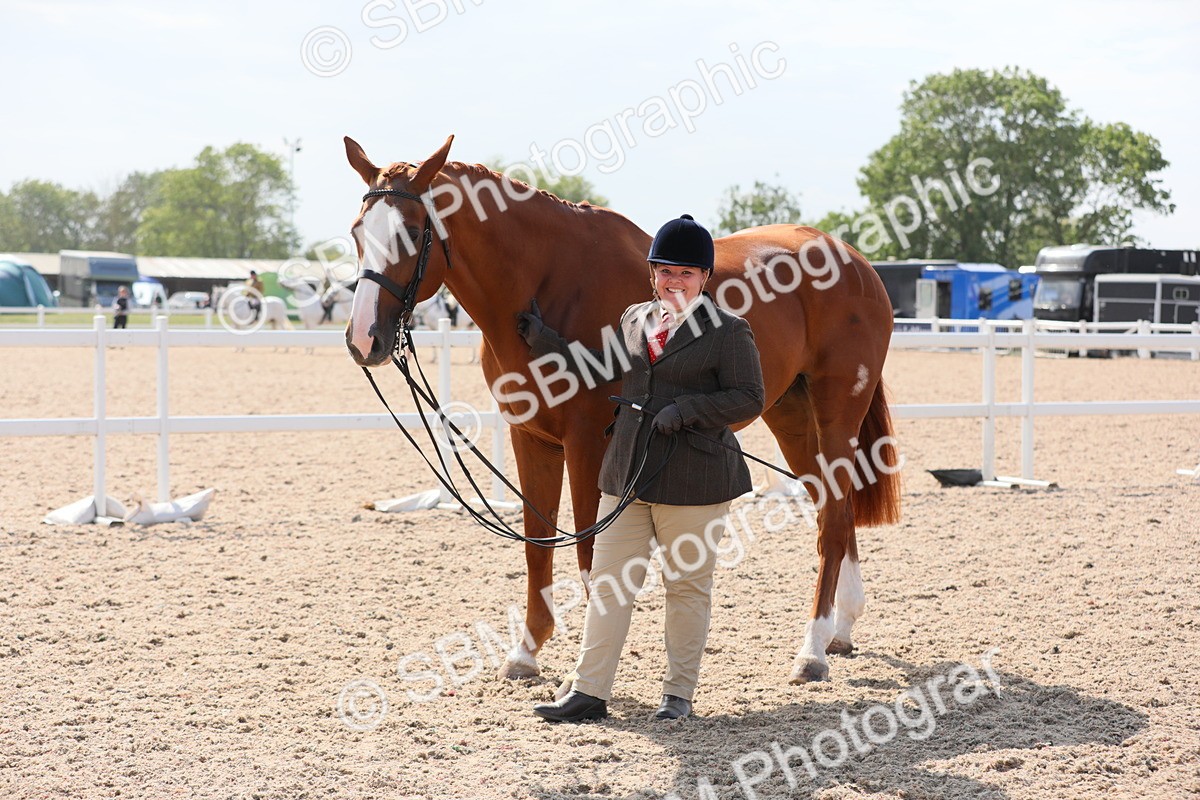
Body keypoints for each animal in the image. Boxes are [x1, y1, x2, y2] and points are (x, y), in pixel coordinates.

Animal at [342, 135, 901, 686]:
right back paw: (841, 629)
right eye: (356, 231)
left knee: (833, 519)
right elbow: (537, 544)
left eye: (413, 232)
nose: (363, 339)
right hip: (791, 417)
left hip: (836, 413)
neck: (549, 284)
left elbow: (590, 552)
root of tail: (854, 261)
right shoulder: (532, 438)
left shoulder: (589, 441)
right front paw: (526, 653)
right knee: (833, 507)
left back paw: (813, 651)